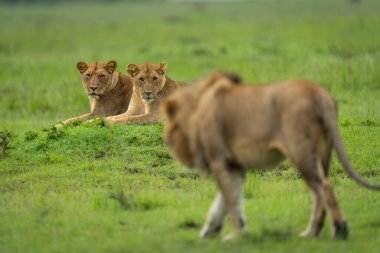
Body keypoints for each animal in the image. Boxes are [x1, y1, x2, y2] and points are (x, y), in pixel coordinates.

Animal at [161, 71, 380, 241]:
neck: (197, 109)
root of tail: (318, 93)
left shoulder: (220, 160)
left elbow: (230, 201)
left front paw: (235, 236)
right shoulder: (233, 165)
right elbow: (227, 200)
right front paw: (214, 231)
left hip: (300, 151)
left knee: (323, 188)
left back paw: (337, 230)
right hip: (323, 154)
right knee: (320, 191)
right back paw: (312, 233)